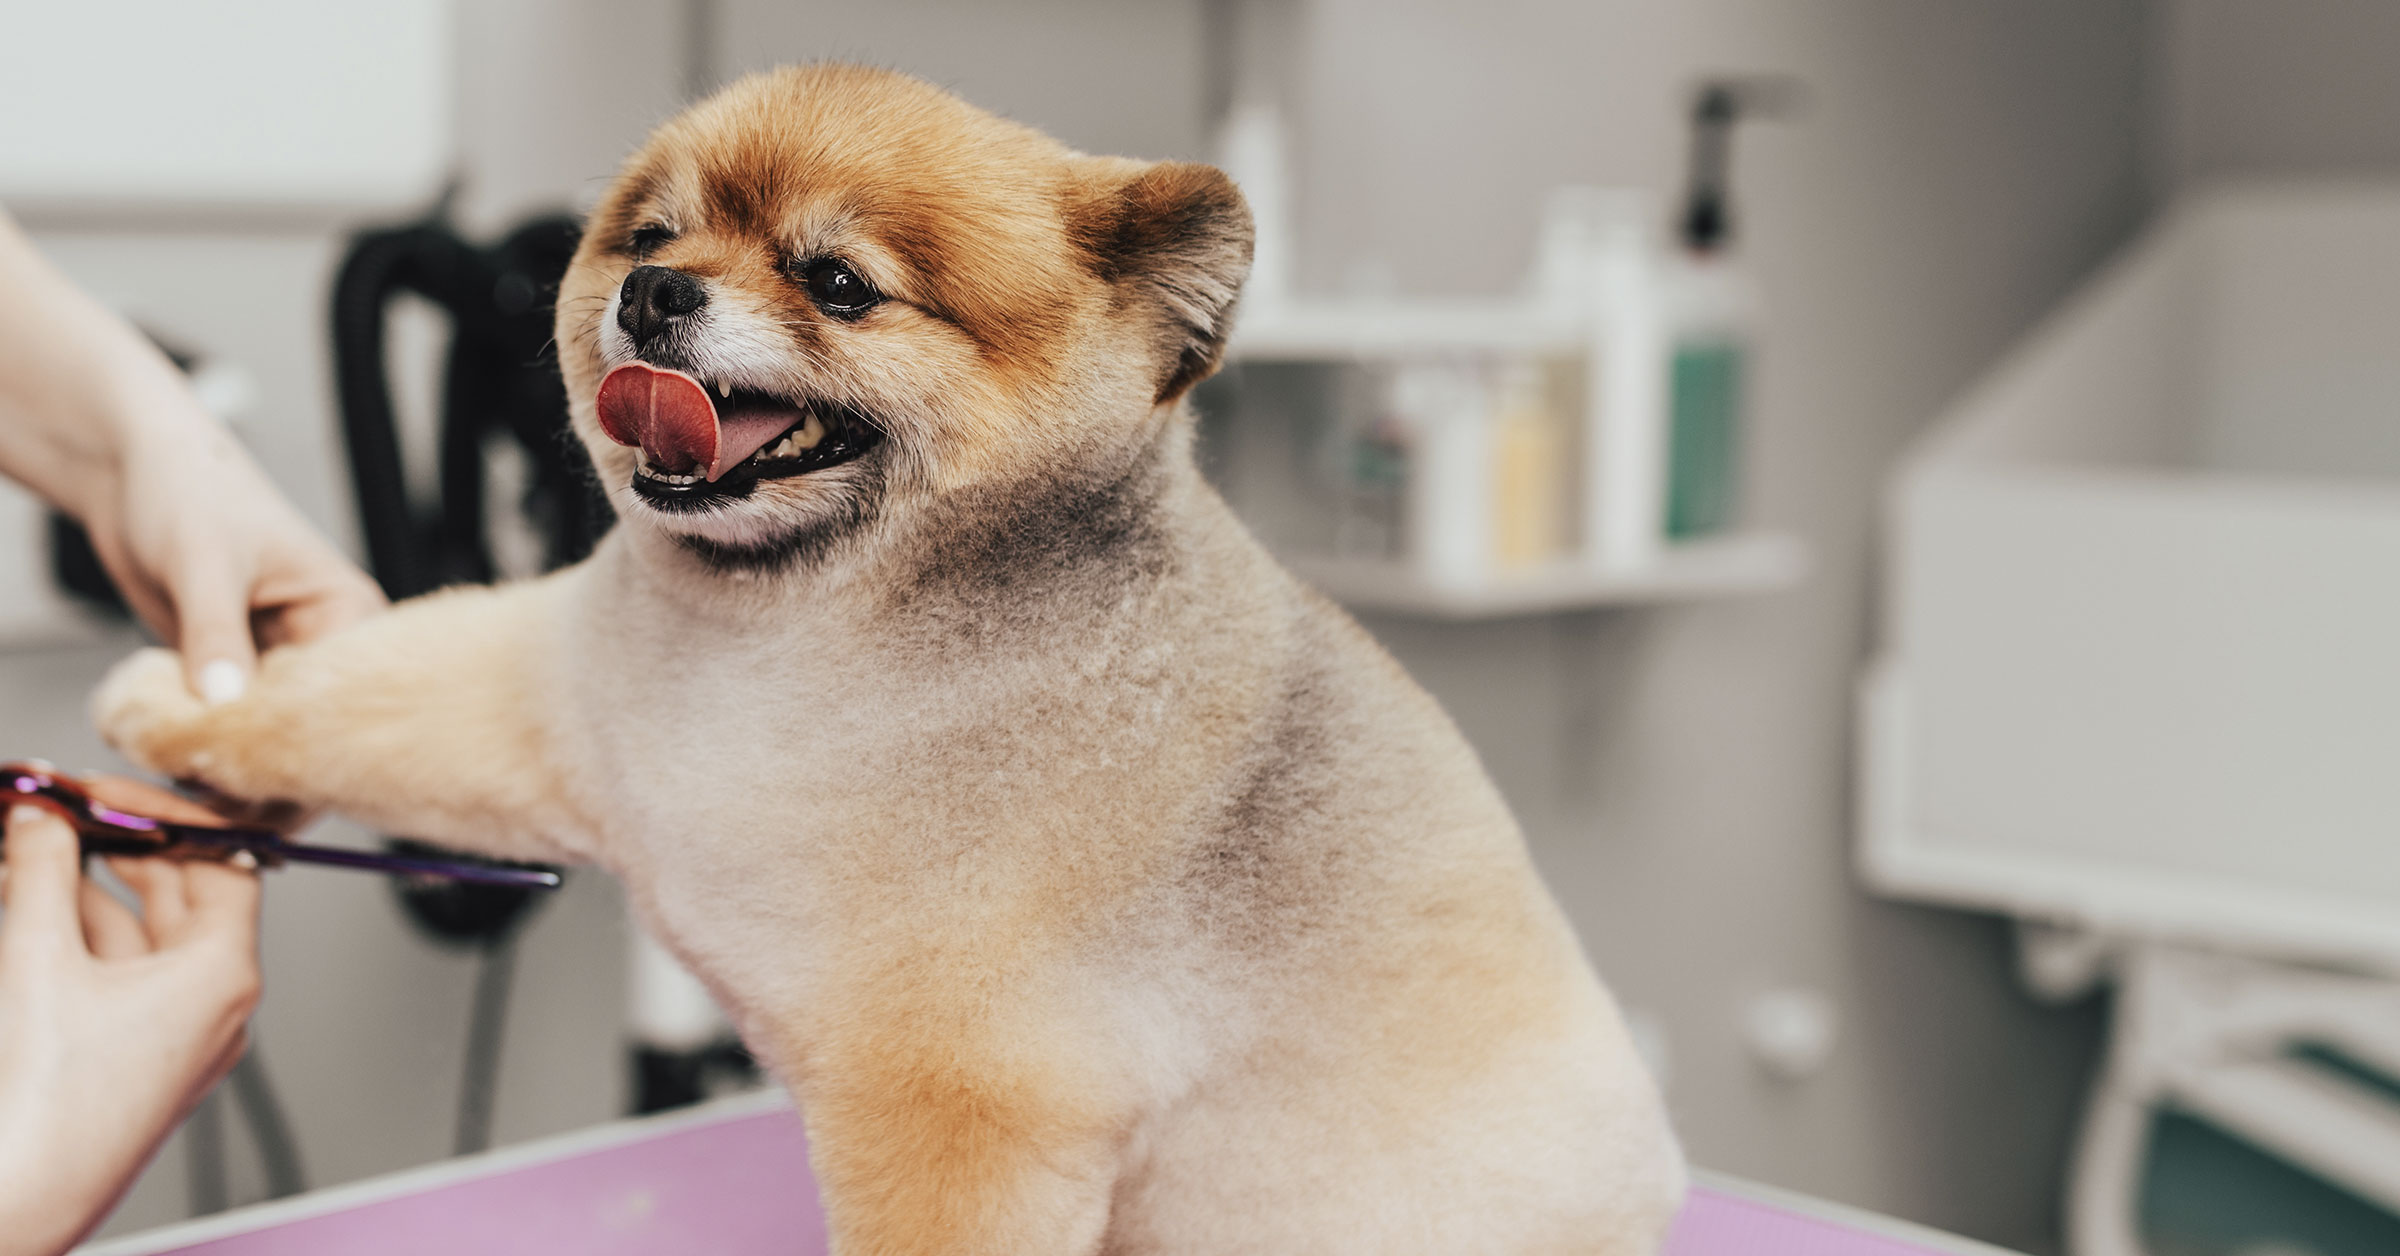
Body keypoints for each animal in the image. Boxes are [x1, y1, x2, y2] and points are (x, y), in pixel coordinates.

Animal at [93, 63, 1680, 1256]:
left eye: (840, 283)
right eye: (650, 236)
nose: (657, 298)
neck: (797, 642)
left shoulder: (965, 1104)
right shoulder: (552, 696)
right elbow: (356, 693)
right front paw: (187, 701)